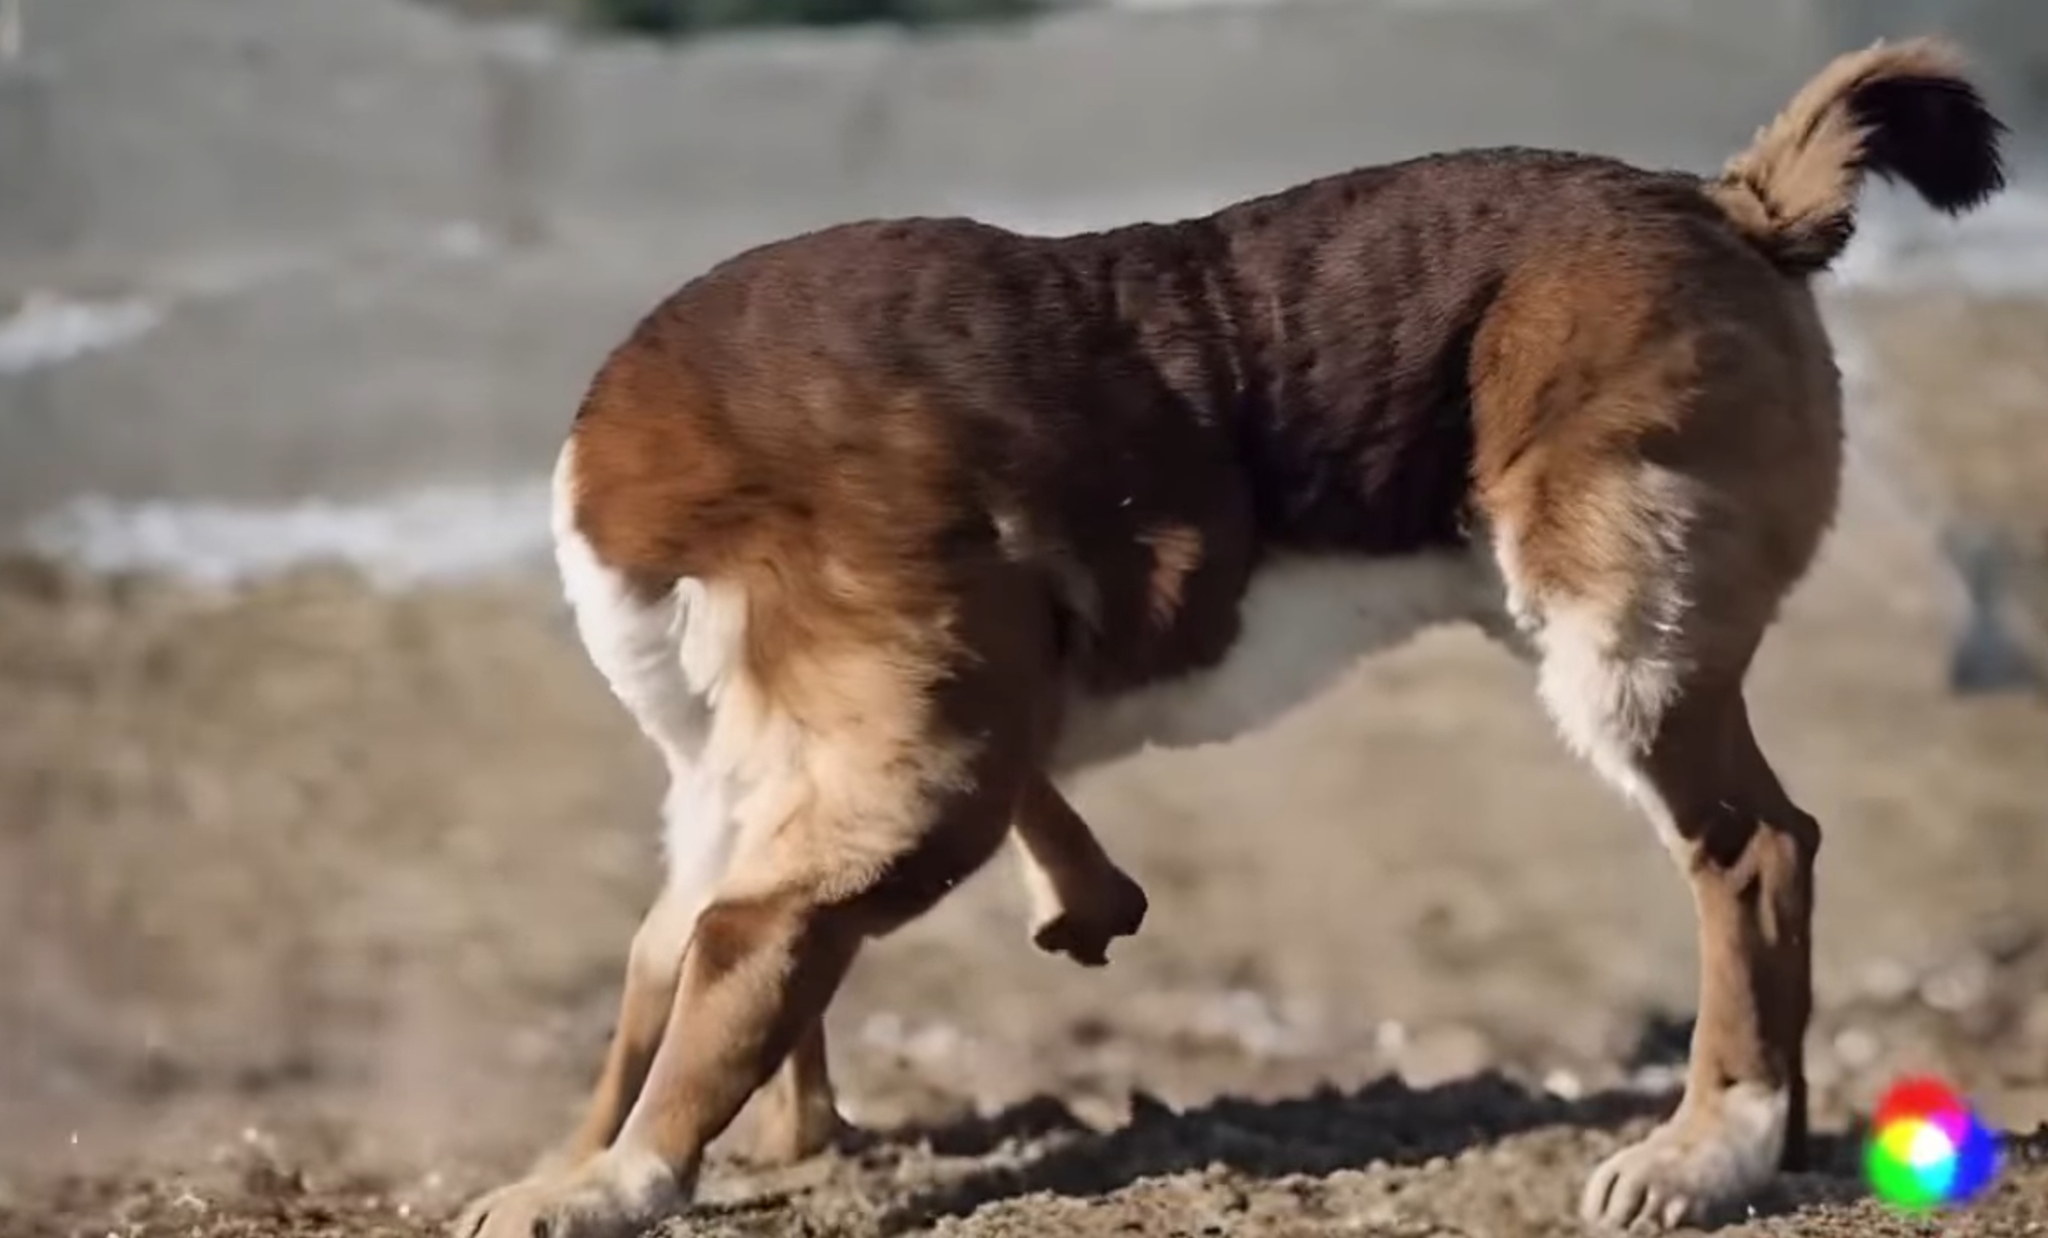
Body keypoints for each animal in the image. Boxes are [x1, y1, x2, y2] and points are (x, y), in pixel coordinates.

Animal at [456, 38, 2007, 1238]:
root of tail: (1728, 205)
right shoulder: (758, 780)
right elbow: (670, 966)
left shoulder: (896, 775)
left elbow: (725, 968)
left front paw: (606, 1183)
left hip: (1618, 642)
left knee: (1752, 855)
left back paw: (1707, 1146)